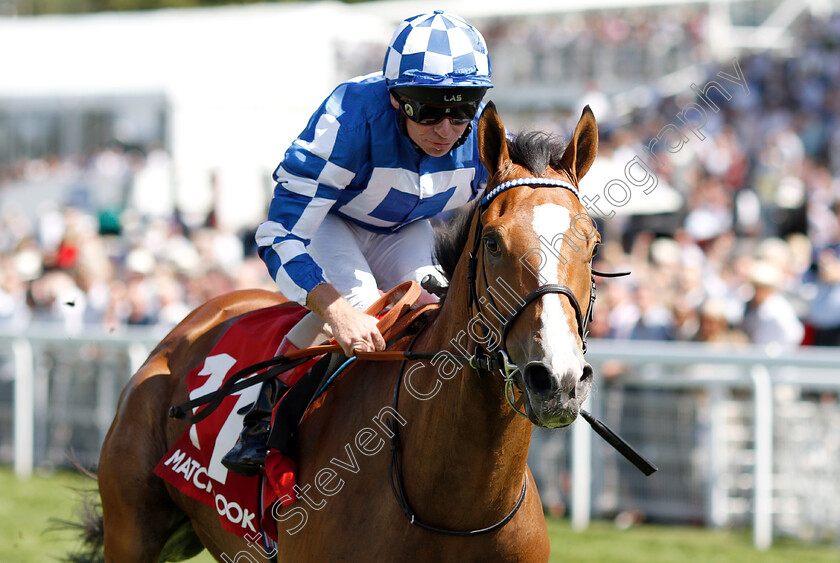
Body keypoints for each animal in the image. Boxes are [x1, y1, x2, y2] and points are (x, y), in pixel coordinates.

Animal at [74, 102, 604, 563]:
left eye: (594, 244)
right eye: (493, 243)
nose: (557, 380)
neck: (454, 505)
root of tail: (194, 321)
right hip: (131, 531)